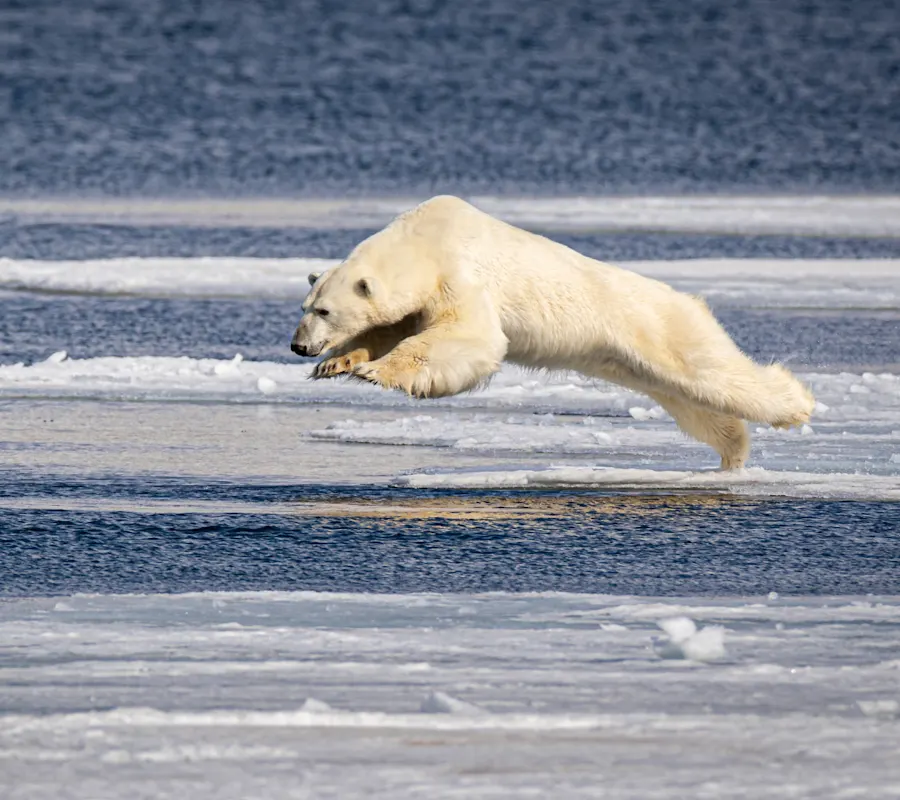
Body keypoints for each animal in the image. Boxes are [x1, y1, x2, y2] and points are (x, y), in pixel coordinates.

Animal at [291, 195, 814, 469]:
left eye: (324, 310)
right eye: (306, 307)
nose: (298, 345)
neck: (422, 243)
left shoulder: (460, 274)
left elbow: (470, 337)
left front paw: (379, 372)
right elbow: (390, 327)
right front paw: (338, 363)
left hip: (659, 325)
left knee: (710, 371)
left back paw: (799, 406)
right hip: (634, 364)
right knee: (690, 403)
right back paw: (733, 450)